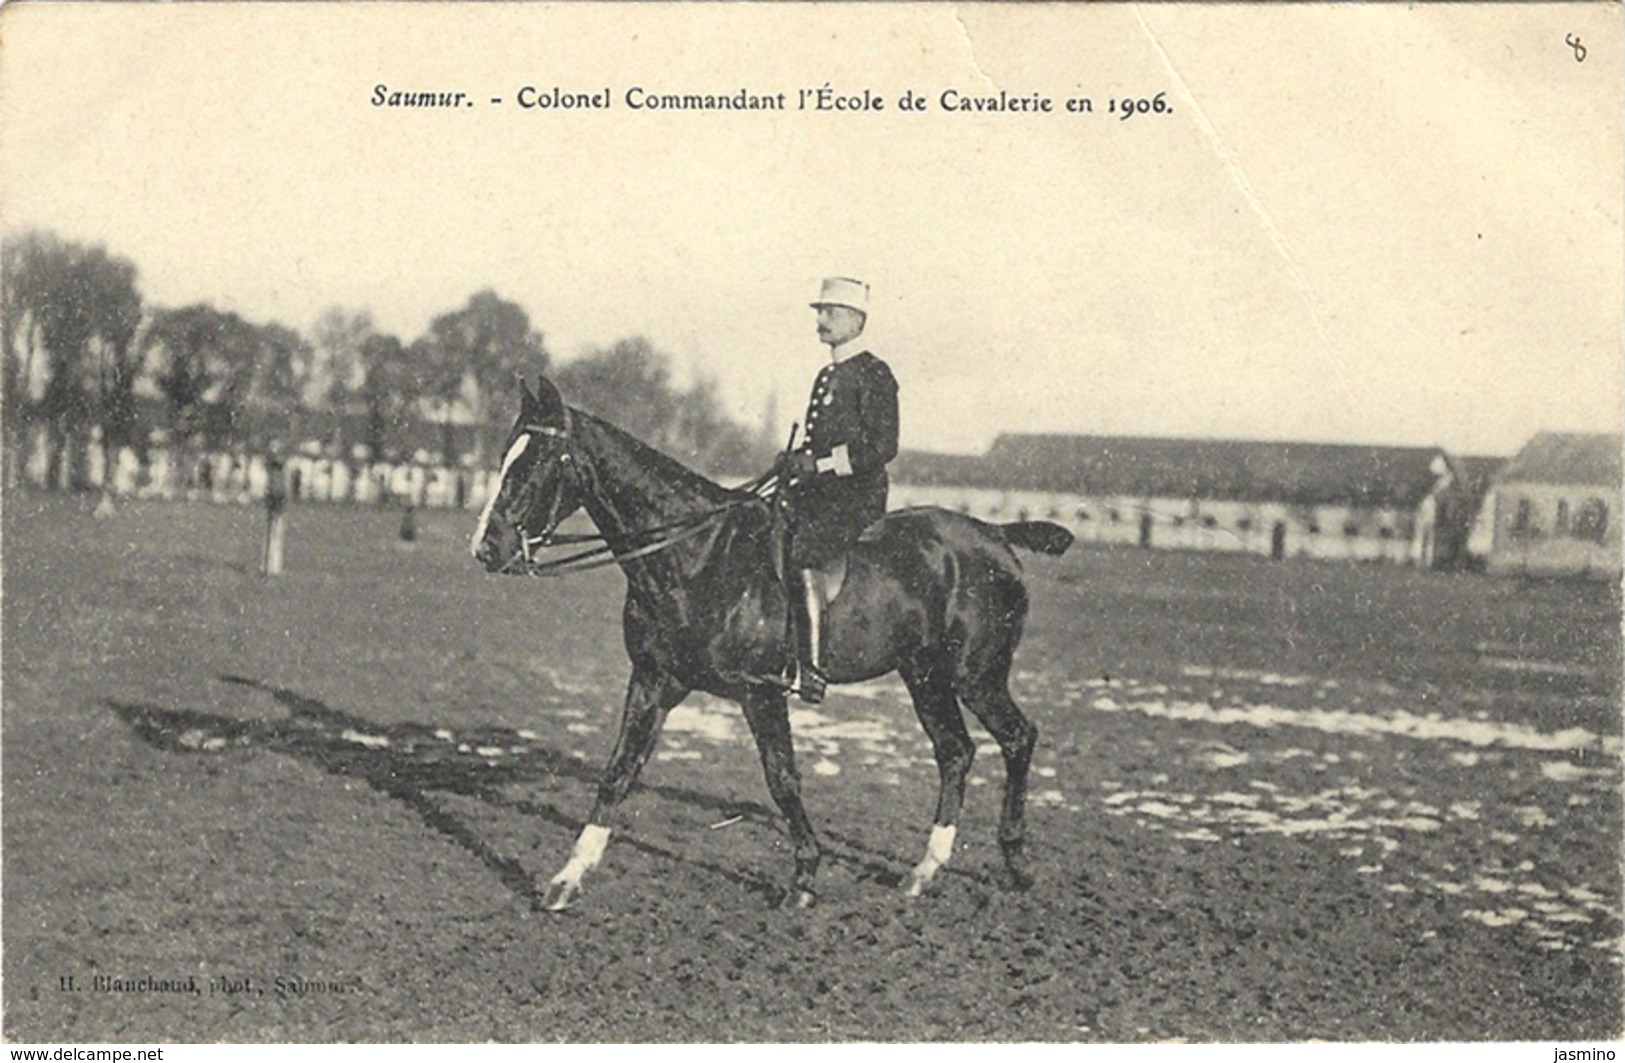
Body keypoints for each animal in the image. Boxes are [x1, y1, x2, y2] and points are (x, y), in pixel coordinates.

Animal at [471, 378, 1072, 910]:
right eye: (504, 456)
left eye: (534, 463)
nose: (485, 548)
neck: (698, 557)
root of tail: (995, 534)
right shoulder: (653, 681)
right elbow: (619, 772)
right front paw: (568, 877)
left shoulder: (761, 692)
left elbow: (782, 779)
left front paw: (805, 877)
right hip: (924, 675)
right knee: (955, 751)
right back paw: (925, 871)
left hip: (976, 674)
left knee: (1017, 737)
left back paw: (1015, 862)